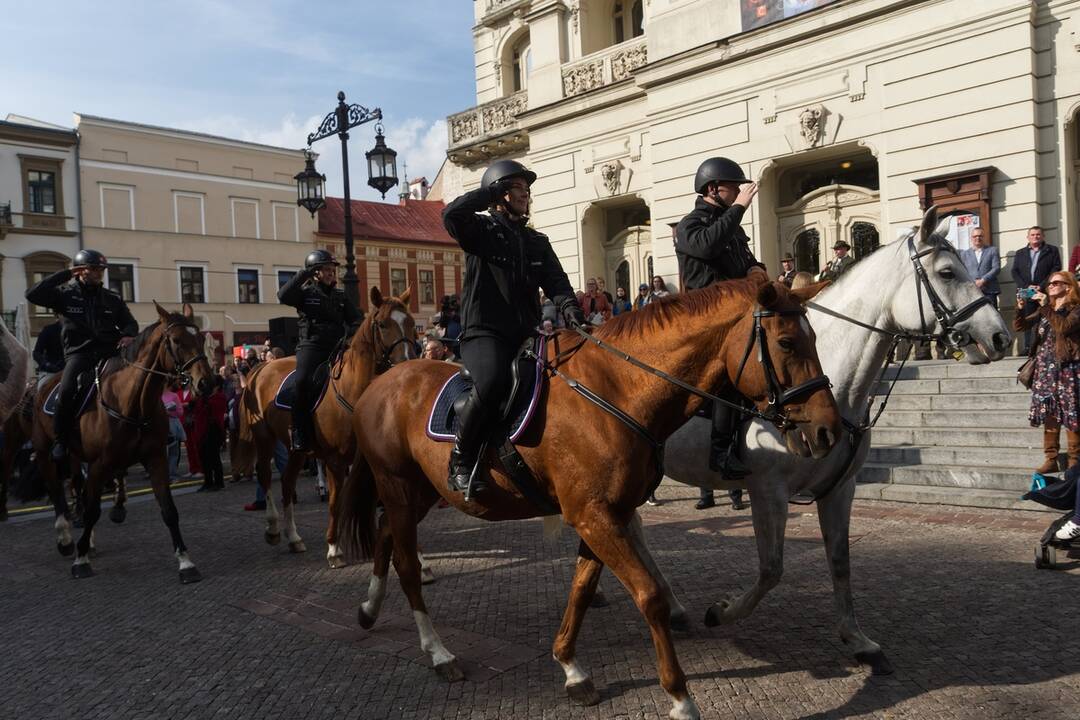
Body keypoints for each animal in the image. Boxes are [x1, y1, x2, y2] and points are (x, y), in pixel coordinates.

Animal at [32, 302, 214, 582]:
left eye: (201, 338)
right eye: (175, 340)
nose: (206, 382)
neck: (133, 401)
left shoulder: (156, 459)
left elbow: (169, 510)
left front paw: (185, 562)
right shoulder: (98, 465)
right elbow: (93, 511)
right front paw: (80, 560)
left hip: (77, 456)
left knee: (79, 488)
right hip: (45, 453)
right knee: (57, 493)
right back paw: (65, 538)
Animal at [238, 284, 414, 561]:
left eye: (411, 323)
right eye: (383, 324)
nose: (407, 363)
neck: (354, 391)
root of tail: (261, 367)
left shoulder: (374, 461)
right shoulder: (335, 460)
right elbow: (335, 502)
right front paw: (333, 547)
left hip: (296, 448)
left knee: (287, 483)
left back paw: (294, 537)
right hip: (264, 437)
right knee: (265, 476)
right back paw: (274, 528)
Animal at [336, 278, 842, 720]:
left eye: (814, 338)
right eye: (788, 343)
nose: (828, 430)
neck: (616, 390)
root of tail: (381, 382)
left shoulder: (601, 514)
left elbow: (581, 589)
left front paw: (571, 667)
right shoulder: (594, 516)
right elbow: (649, 595)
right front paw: (680, 698)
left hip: (420, 492)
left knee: (385, 535)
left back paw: (368, 608)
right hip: (399, 487)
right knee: (406, 564)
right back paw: (438, 652)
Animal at [656, 207, 1010, 677]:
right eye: (947, 272)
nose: (1000, 337)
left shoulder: (840, 488)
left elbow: (840, 561)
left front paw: (858, 641)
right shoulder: (769, 491)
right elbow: (772, 568)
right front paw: (722, 611)